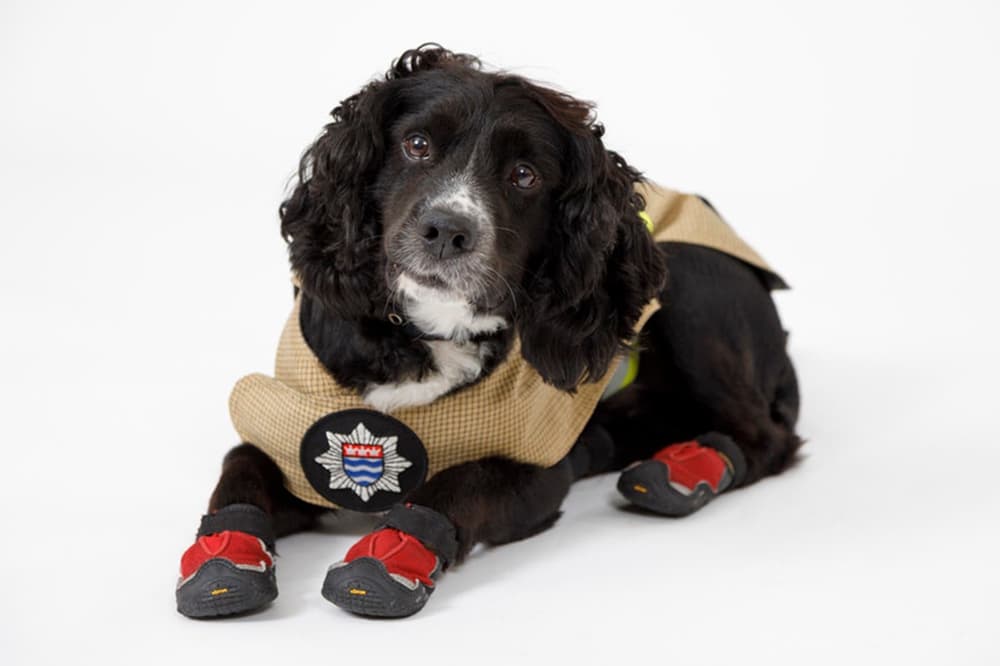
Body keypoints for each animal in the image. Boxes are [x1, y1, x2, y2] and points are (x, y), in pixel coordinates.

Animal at [176, 45, 800, 616]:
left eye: (524, 176)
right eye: (417, 144)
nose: (446, 230)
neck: (427, 332)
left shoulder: (537, 470)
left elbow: (458, 483)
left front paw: (390, 558)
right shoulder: (289, 423)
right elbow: (240, 471)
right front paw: (221, 563)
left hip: (690, 282)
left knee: (763, 435)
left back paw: (682, 470)